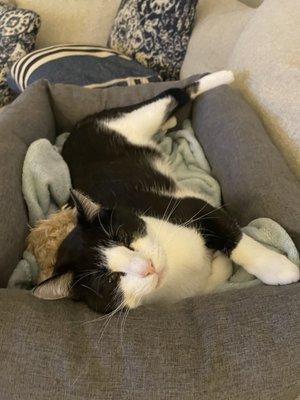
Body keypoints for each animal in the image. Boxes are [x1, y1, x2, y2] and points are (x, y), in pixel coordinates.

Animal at [33, 70, 300, 312]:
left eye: (124, 238)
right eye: (110, 279)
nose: (148, 267)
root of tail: (76, 129)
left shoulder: (188, 207)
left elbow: (233, 236)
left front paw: (276, 267)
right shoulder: (185, 291)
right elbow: (208, 280)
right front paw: (220, 264)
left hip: (130, 120)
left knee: (172, 94)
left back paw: (222, 76)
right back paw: (170, 122)